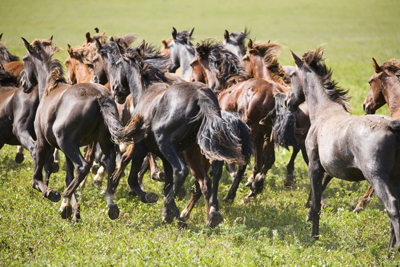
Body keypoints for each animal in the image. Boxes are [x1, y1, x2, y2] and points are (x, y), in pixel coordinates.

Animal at [20, 37, 145, 222]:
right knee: (109, 162)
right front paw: (73, 210)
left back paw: (65, 196)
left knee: (83, 167)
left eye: (25, 59)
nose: (23, 84)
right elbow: (68, 176)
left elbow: (37, 178)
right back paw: (110, 203)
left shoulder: (44, 144)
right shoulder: (67, 151)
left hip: (67, 143)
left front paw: (54, 196)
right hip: (99, 141)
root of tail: (100, 97)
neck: (50, 88)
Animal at [94, 39, 250, 228]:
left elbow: (132, 174)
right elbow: (167, 182)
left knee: (182, 172)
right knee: (205, 181)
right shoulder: (162, 156)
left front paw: (148, 198)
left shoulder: (141, 147)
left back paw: (177, 211)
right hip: (192, 153)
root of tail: (200, 98)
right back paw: (209, 215)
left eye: (117, 64)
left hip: (169, 146)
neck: (146, 91)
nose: (116, 90)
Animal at [288, 45, 400, 252]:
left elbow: (316, 202)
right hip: (394, 178)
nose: (287, 102)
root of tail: (391, 126)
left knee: (392, 206)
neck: (324, 112)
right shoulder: (327, 170)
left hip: (377, 178)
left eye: (291, 76)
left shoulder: (314, 167)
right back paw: (389, 250)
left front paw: (314, 236)